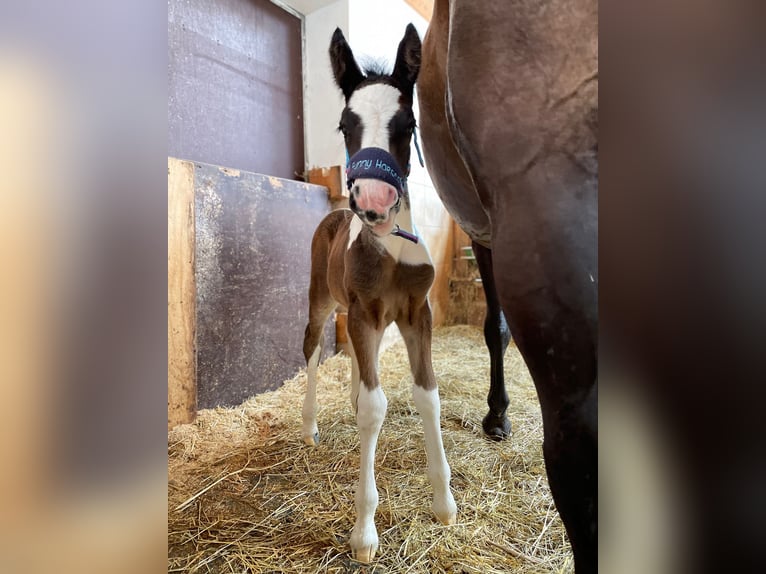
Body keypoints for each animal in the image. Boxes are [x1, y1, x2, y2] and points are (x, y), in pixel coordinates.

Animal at [300, 26, 457, 563]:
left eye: (406, 124)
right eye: (345, 124)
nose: (372, 202)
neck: (390, 245)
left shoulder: (415, 314)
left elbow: (427, 395)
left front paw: (444, 502)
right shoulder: (366, 312)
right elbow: (375, 408)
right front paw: (364, 532)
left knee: (352, 358)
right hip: (322, 301)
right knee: (311, 349)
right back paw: (309, 427)